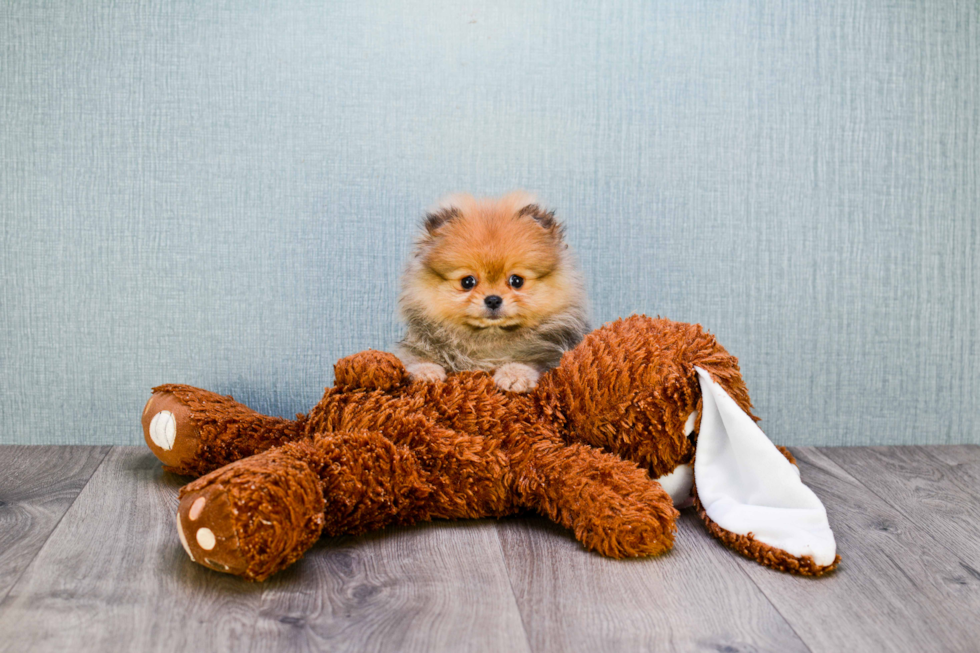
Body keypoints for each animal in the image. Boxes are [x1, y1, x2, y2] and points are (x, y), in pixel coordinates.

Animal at [396, 191, 588, 390]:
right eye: (467, 282)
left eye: (516, 281)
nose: (493, 299)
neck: (489, 338)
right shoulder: (415, 347)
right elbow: (416, 359)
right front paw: (426, 372)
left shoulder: (549, 356)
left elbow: (526, 362)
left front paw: (514, 375)